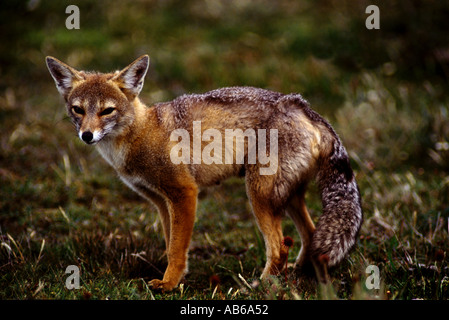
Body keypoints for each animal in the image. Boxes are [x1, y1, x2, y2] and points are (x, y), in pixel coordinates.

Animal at [46, 55, 360, 292]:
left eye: (107, 111)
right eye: (78, 110)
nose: (87, 135)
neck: (142, 133)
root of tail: (303, 106)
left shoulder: (184, 193)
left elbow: (176, 248)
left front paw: (169, 284)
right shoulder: (161, 202)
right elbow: (171, 243)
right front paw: (175, 277)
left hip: (259, 195)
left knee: (280, 248)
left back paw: (262, 285)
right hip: (286, 197)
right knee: (310, 235)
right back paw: (301, 275)